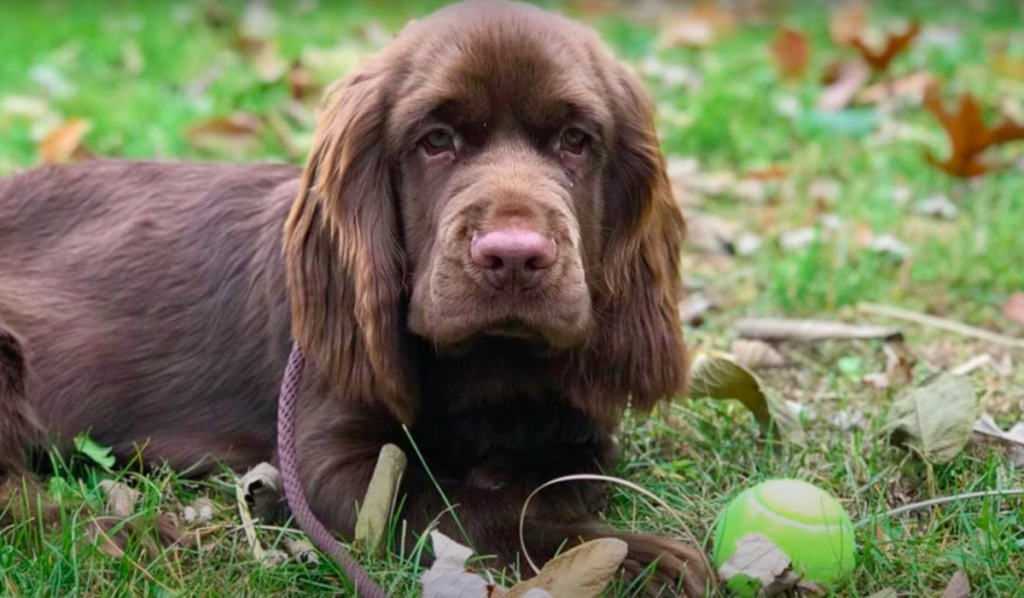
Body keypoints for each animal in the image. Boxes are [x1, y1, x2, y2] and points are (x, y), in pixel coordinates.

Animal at [0, 2, 708, 593]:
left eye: (575, 141)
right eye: (435, 139)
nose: (513, 256)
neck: (488, 366)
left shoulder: (575, 430)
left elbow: (559, 475)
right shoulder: (336, 467)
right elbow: (462, 509)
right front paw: (639, 559)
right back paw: (136, 535)